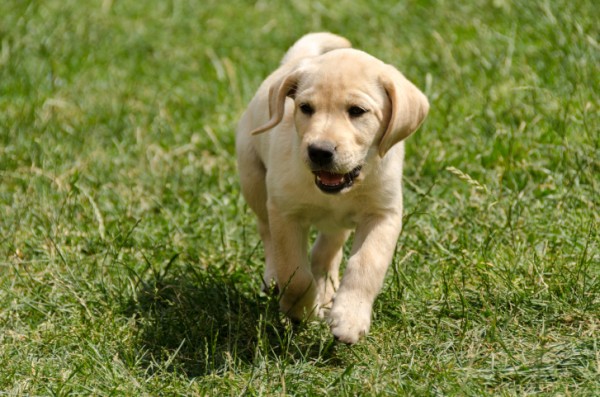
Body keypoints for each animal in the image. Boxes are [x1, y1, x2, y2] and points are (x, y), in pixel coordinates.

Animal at [237, 32, 428, 344]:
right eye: (305, 108)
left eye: (357, 111)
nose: (319, 151)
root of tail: (294, 62)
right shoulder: (285, 212)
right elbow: (295, 271)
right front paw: (302, 312)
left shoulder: (383, 214)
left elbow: (366, 264)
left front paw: (349, 318)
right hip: (253, 179)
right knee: (267, 233)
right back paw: (277, 280)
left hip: (337, 222)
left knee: (326, 249)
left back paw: (328, 292)